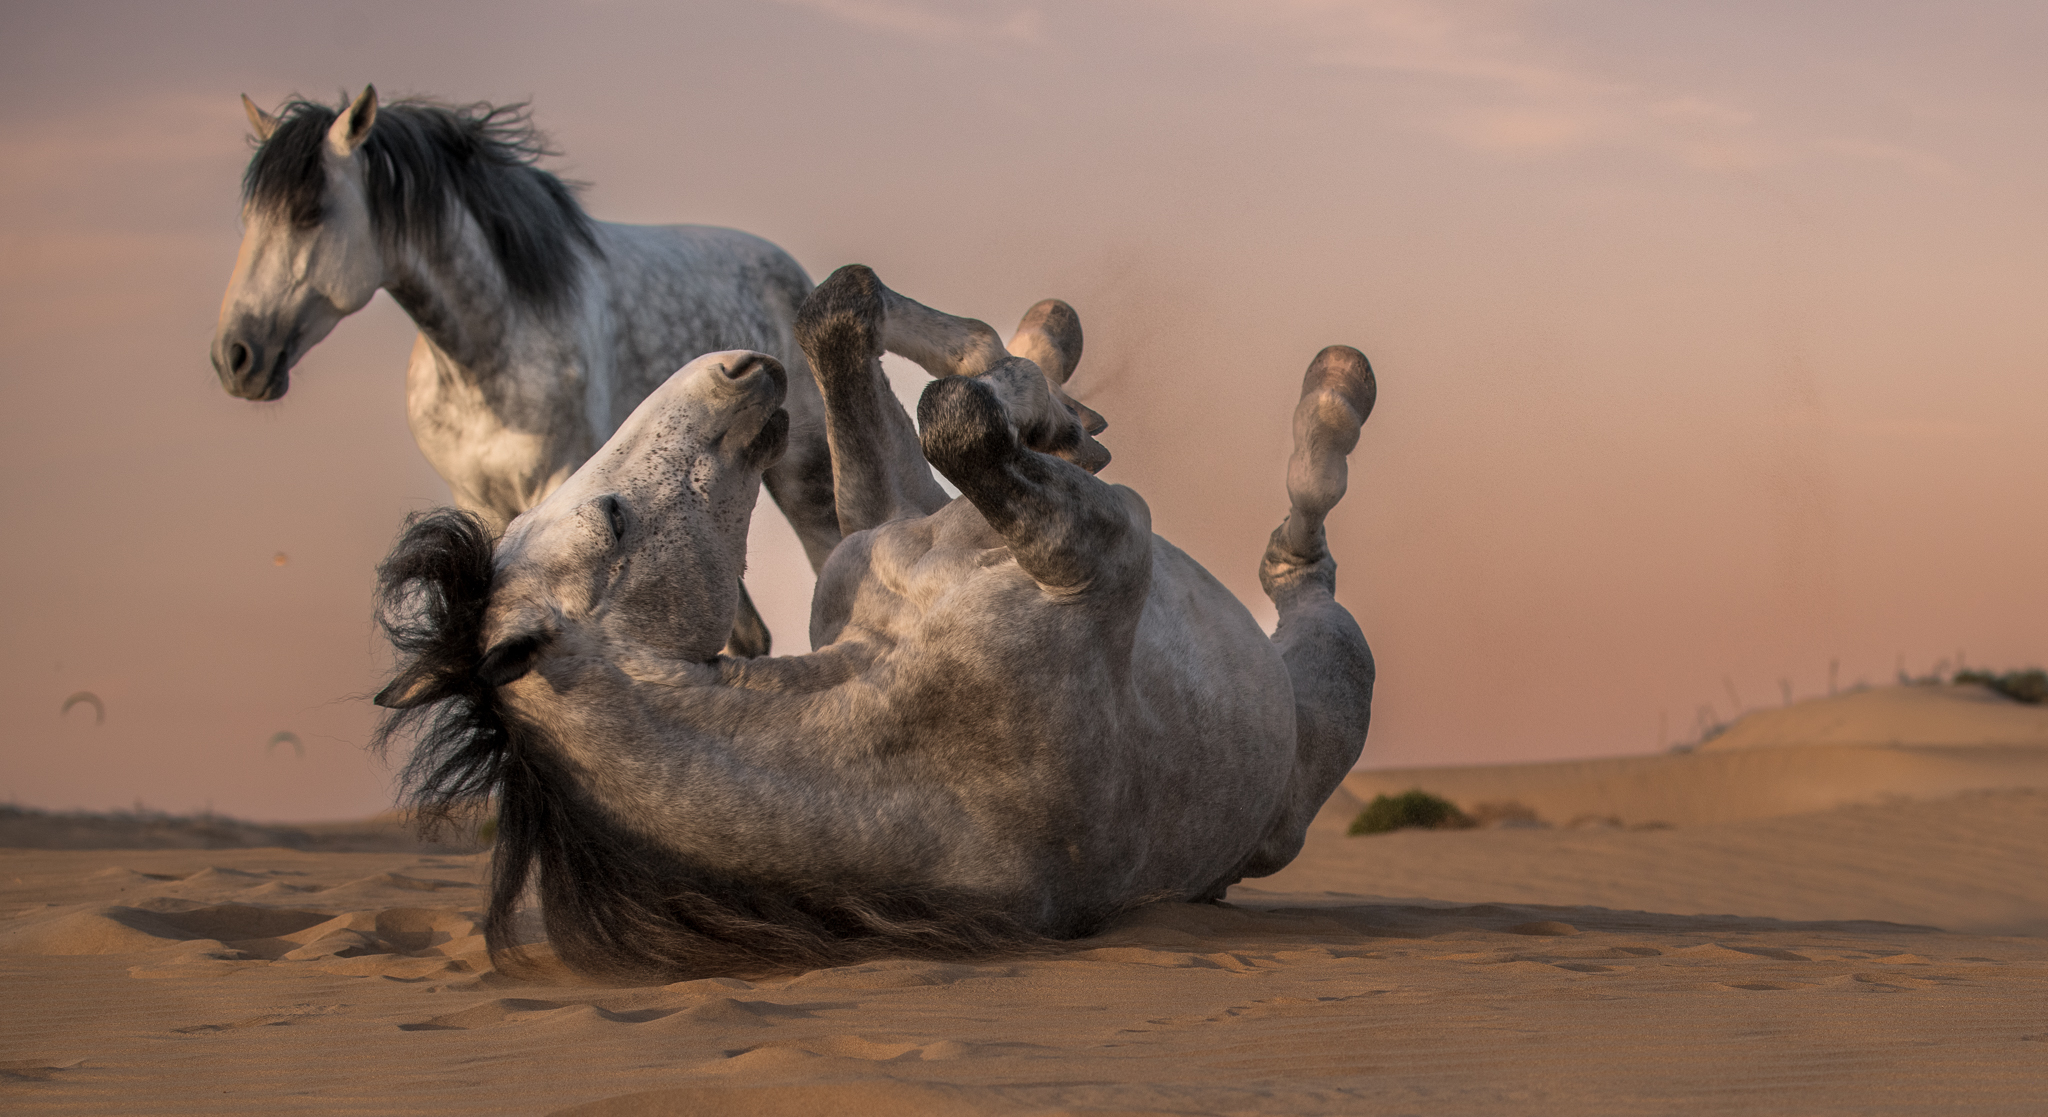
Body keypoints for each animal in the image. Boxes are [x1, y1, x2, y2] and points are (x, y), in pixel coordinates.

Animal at [212, 87, 1105, 653]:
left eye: (309, 211)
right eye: (247, 215)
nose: (236, 356)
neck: (487, 342)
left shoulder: (561, 479)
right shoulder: (483, 500)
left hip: (803, 476)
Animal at [370, 265, 1376, 983]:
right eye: (613, 519)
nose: (732, 368)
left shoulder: (885, 522)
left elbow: (845, 315)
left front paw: (1046, 392)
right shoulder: (1105, 546)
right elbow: (956, 417)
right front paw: (1041, 402)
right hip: (1330, 674)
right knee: (1303, 554)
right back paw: (1336, 389)